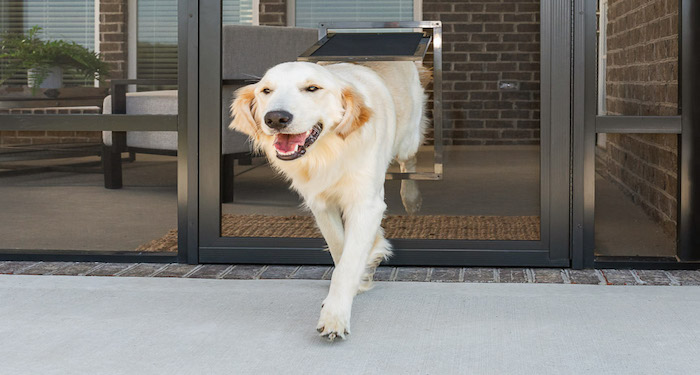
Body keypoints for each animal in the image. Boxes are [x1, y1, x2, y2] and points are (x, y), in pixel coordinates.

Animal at [230, 61, 426, 340]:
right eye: (266, 90)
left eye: (312, 88)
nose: (276, 118)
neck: (328, 151)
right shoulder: (321, 204)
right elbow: (340, 248)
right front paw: (362, 274)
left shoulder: (366, 203)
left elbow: (348, 263)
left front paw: (335, 316)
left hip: (408, 139)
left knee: (408, 161)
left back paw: (412, 199)